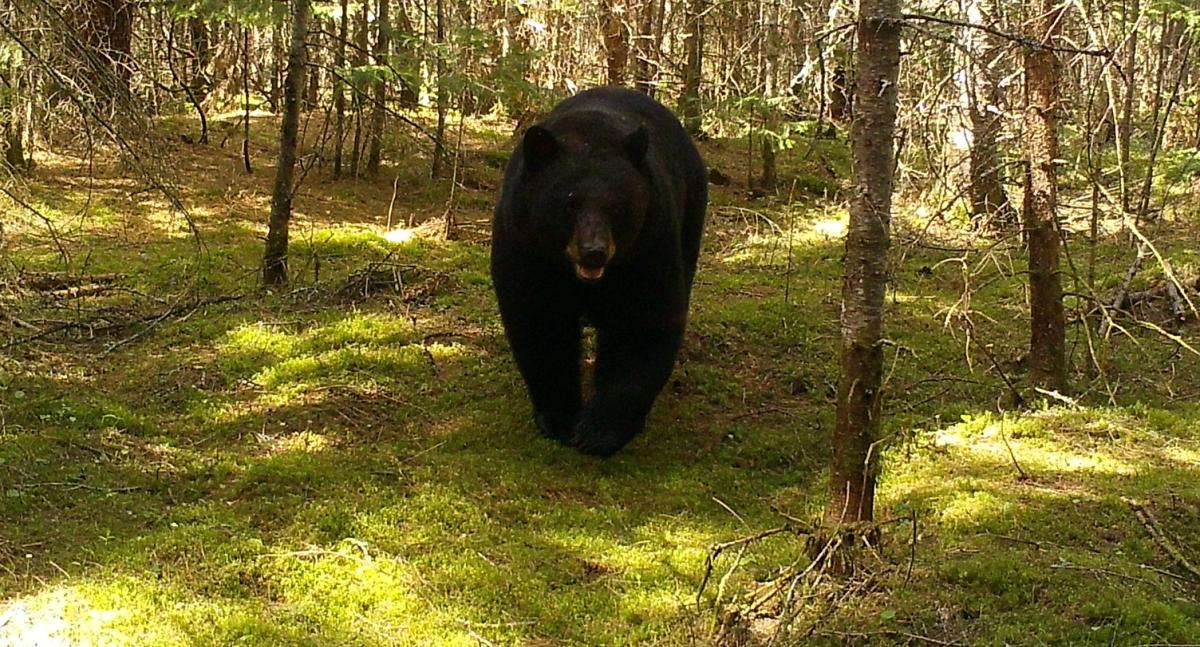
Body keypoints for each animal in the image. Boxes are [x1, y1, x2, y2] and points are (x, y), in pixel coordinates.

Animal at [490, 87, 708, 458]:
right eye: (569, 204)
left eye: (616, 207)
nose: (594, 251)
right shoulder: (526, 244)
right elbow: (541, 321)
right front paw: (560, 418)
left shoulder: (647, 244)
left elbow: (643, 319)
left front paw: (600, 430)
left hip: (691, 210)